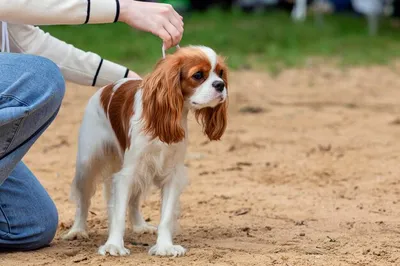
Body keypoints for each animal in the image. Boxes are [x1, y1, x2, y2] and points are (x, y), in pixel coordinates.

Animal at [62, 44, 228, 256]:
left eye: (220, 73)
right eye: (198, 75)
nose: (220, 85)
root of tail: (107, 88)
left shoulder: (171, 175)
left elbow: (165, 216)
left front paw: (165, 246)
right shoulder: (127, 173)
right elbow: (118, 213)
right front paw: (114, 245)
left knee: (133, 200)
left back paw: (140, 226)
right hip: (87, 163)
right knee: (83, 200)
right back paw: (77, 230)